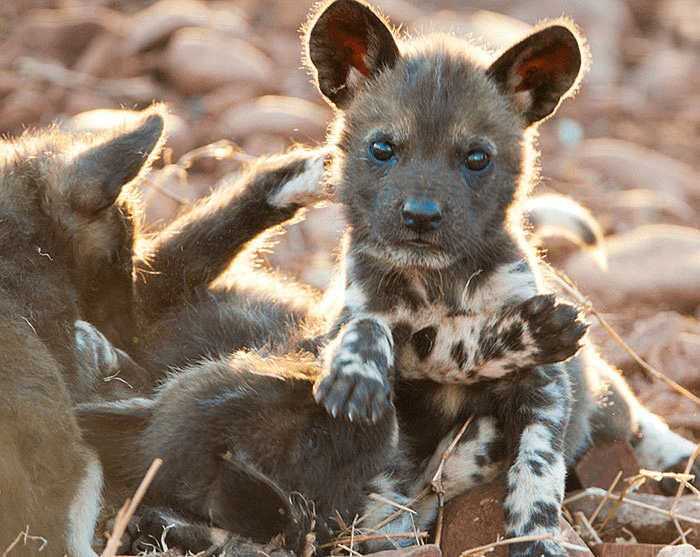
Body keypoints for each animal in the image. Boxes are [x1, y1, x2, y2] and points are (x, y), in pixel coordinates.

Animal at [300, 2, 700, 552]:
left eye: (476, 158)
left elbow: (537, 469)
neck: (438, 285)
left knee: (636, 417)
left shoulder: (545, 385)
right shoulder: (353, 318)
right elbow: (369, 332)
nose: (421, 216)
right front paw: (356, 372)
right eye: (382, 149)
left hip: (606, 396)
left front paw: (536, 538)